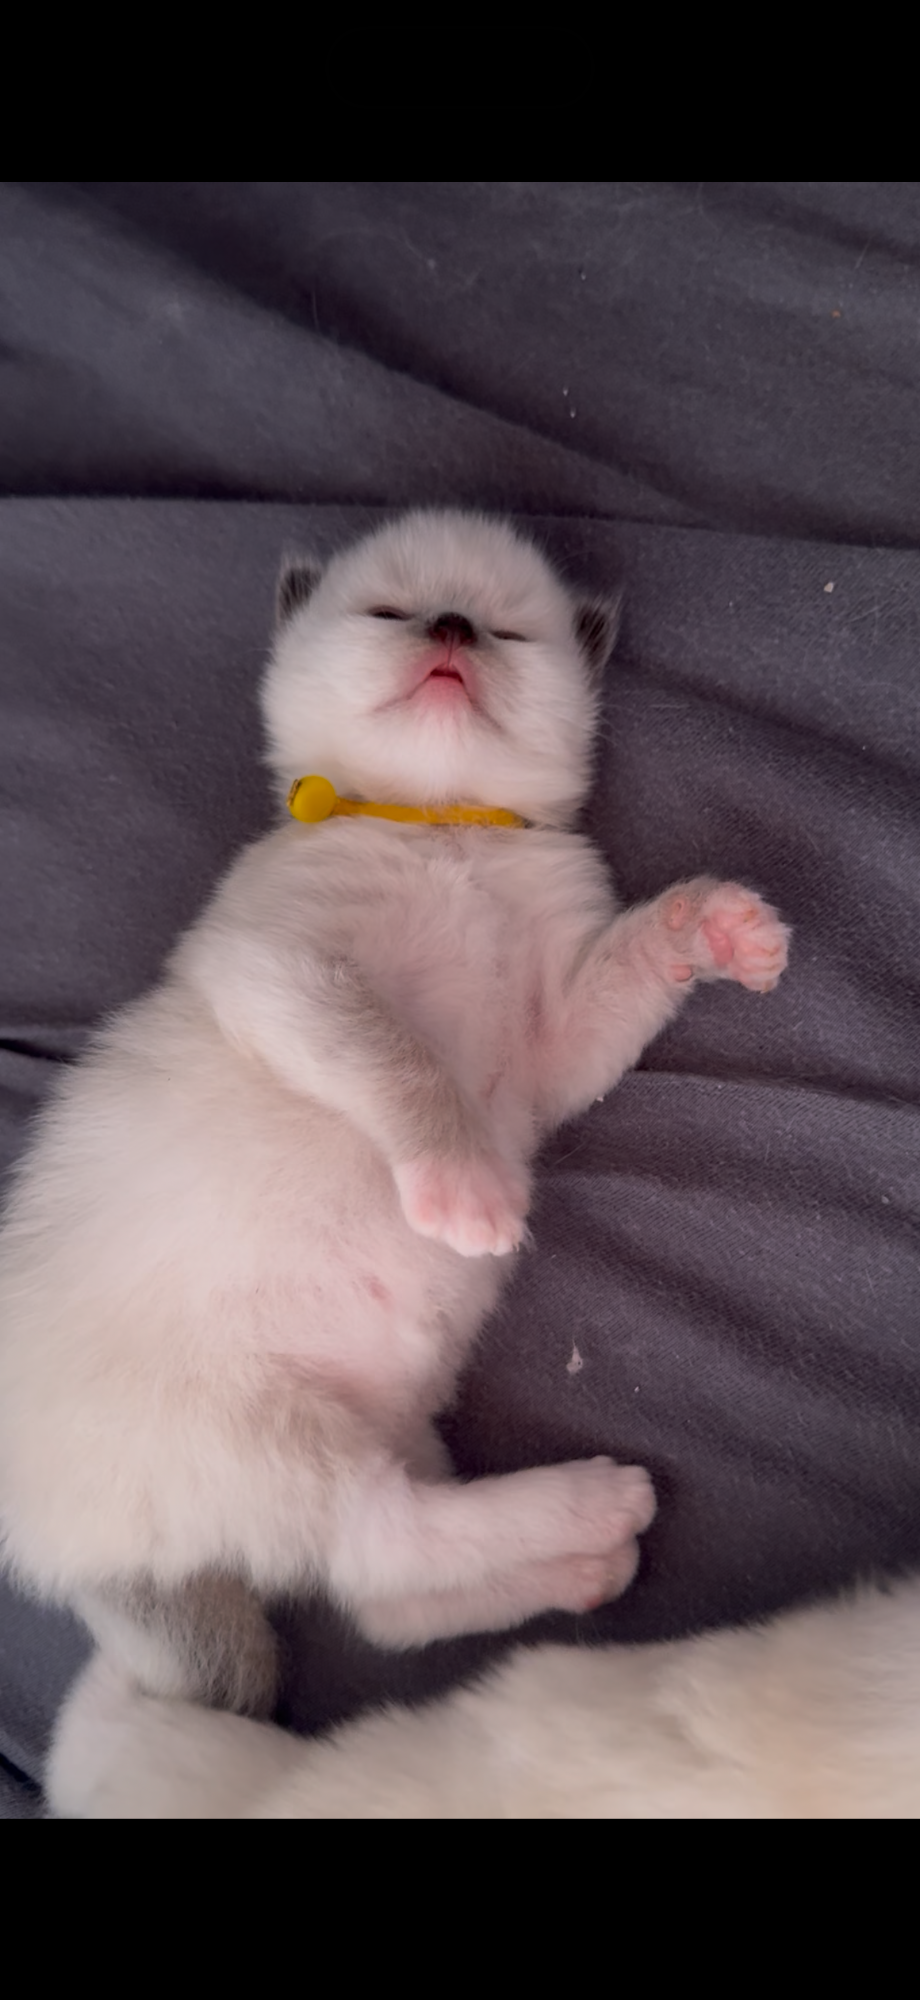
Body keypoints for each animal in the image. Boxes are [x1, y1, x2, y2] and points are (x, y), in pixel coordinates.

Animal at [0, 510, 788, 1720]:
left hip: (388, 1418)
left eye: (505, 628)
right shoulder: (280, 967)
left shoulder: (553, 1040)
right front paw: (468, 1189)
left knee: (386, 1598)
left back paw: (582, 1561)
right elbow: (399, 1059)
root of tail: (71, 1554)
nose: (452, 628)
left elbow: (623, 971)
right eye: (392, 611)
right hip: (265, 1437)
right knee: (383, 1543)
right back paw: (593, 1505)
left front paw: (716, 925)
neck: (441, 824)